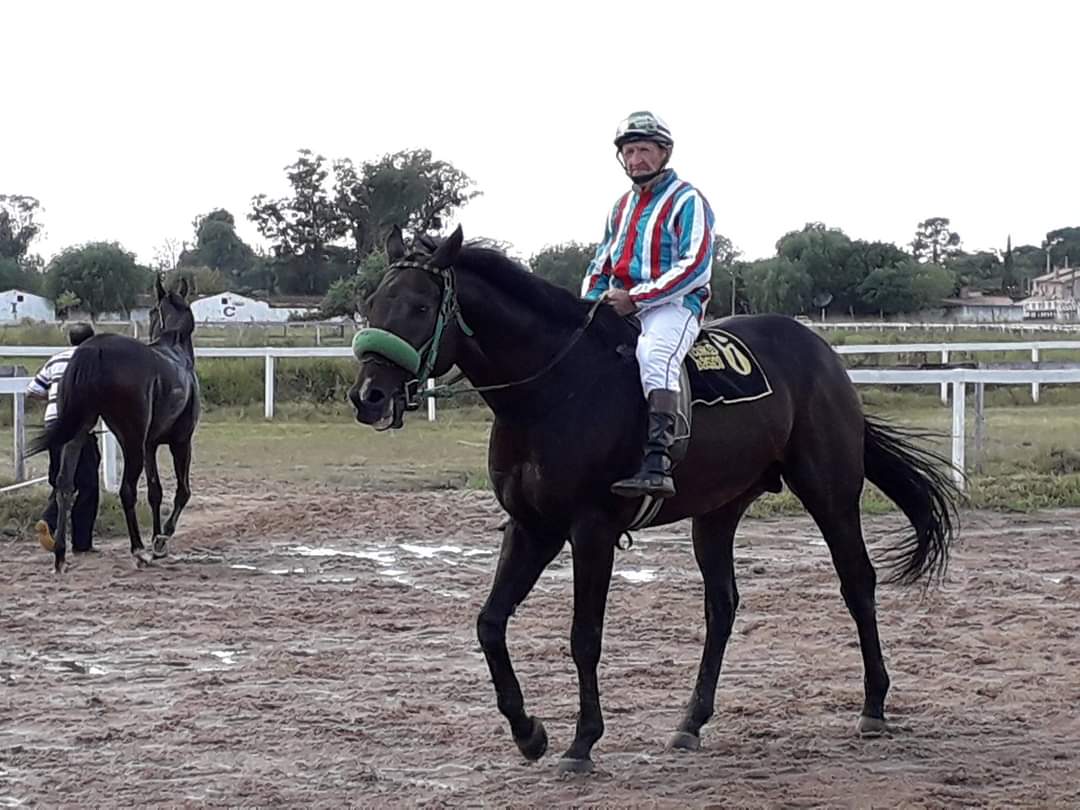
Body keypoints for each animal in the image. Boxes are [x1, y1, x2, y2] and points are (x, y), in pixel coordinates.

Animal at [26, 276, 200, 574]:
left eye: (151, 312)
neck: (174, 351)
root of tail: (95, 349)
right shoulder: (180, 441)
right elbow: (181, 492)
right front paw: (160, 540)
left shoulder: (150, 444)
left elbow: (155, 492)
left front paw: (158, 541)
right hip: (130, 440)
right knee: (126, 490)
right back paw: (138, 550)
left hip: (79, 432)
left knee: (64, 484)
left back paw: (60, 554)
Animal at [349, 225, 959, 777]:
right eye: (372, 303)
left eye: (421, 305)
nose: (368, 396)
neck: (553, 390)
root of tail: (821, 351)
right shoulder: (530, 526)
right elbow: (489, 624)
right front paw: (529, 732)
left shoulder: (590, 530)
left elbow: (584, 637)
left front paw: (582, 742)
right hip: (717, 513)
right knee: (722, 606)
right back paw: (692, 721)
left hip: (829, 491)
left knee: (857, 583)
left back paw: (874, 705)